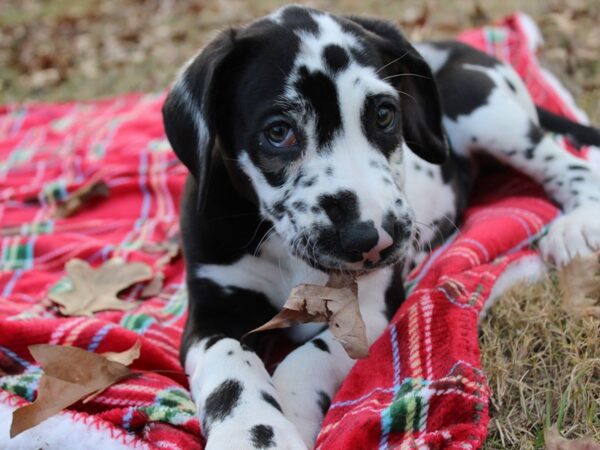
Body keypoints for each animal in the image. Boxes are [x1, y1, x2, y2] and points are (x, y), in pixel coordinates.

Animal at [161, 4, 600, 450]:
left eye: (385, 114)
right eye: (278, 132)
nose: (373, 237)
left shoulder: (370, 305)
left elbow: (306, 360)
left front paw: (293, 409)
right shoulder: (212, 314)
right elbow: (231, 369)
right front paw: (255, 434)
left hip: (484, 109)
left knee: (566, 162)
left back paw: (577, 225)